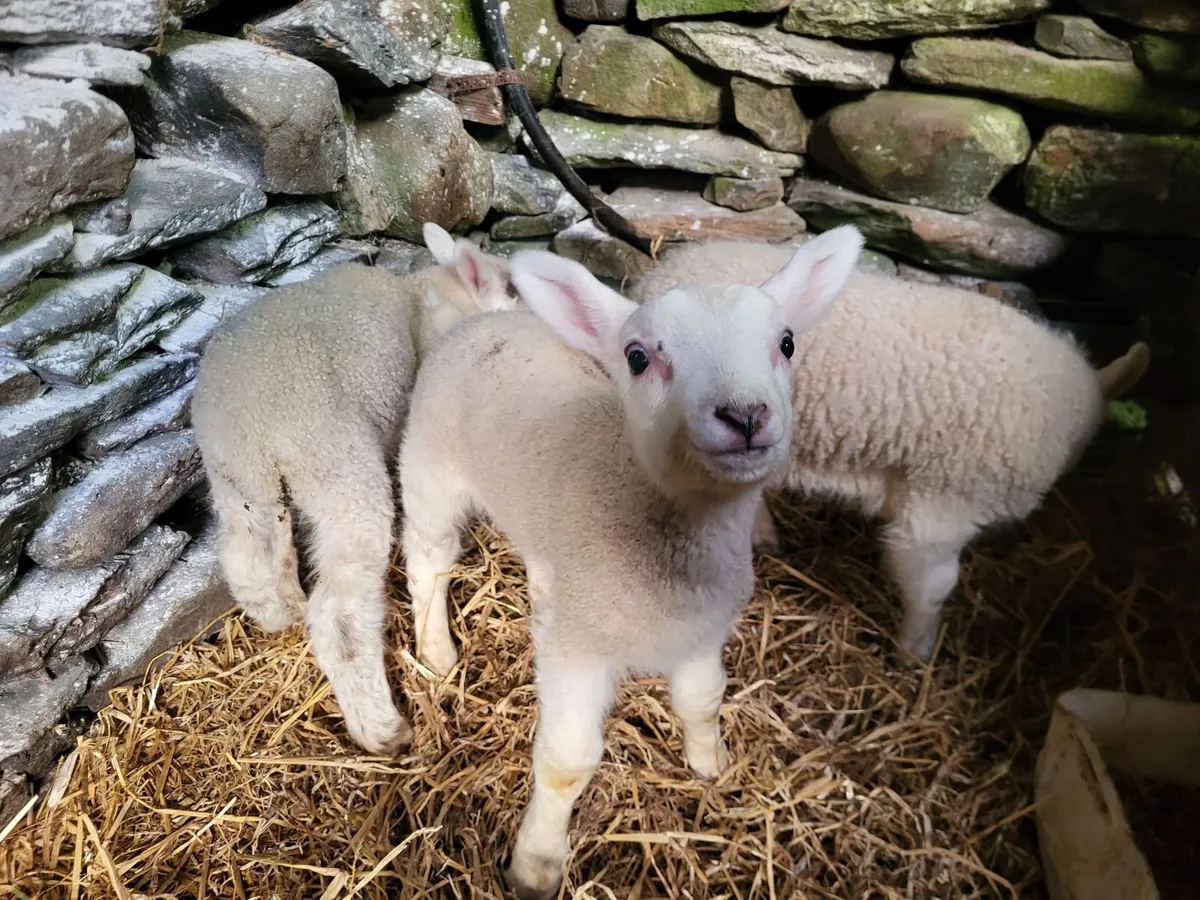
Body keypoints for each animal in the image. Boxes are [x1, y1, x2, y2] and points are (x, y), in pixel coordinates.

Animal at [191, 223, 517, 757]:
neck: (429, 295)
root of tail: (253, 422)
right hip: (337, 463)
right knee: (339, 613)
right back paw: (382, 729)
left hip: (239, 481)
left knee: (251, 561)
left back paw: (283, 612)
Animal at [397, 227, 866, 899]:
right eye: (638, 358)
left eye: (786, 343)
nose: (745, 415)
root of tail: (484, 320)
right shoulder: (580, 652)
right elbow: (567, 763)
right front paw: (536, 865)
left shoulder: (701, 632)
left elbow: (704, 699)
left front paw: (708, 764)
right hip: (430, 469)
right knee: (428, 559)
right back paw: (435, 649)